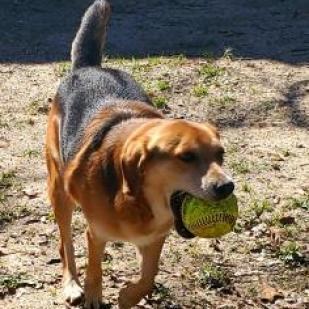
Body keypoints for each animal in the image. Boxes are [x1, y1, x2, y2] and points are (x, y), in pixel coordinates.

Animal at [45, 1, 233, 306]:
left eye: (220, 155)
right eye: (186, 157)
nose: (228, 187)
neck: (138, 200)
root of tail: (89, 67)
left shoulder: (156, 237)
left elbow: (148, 276)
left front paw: (128, 295)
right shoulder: (95, 233)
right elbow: (94, 269)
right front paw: (94, 296)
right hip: (59, 192)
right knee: (66, 244)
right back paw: (71, 284)